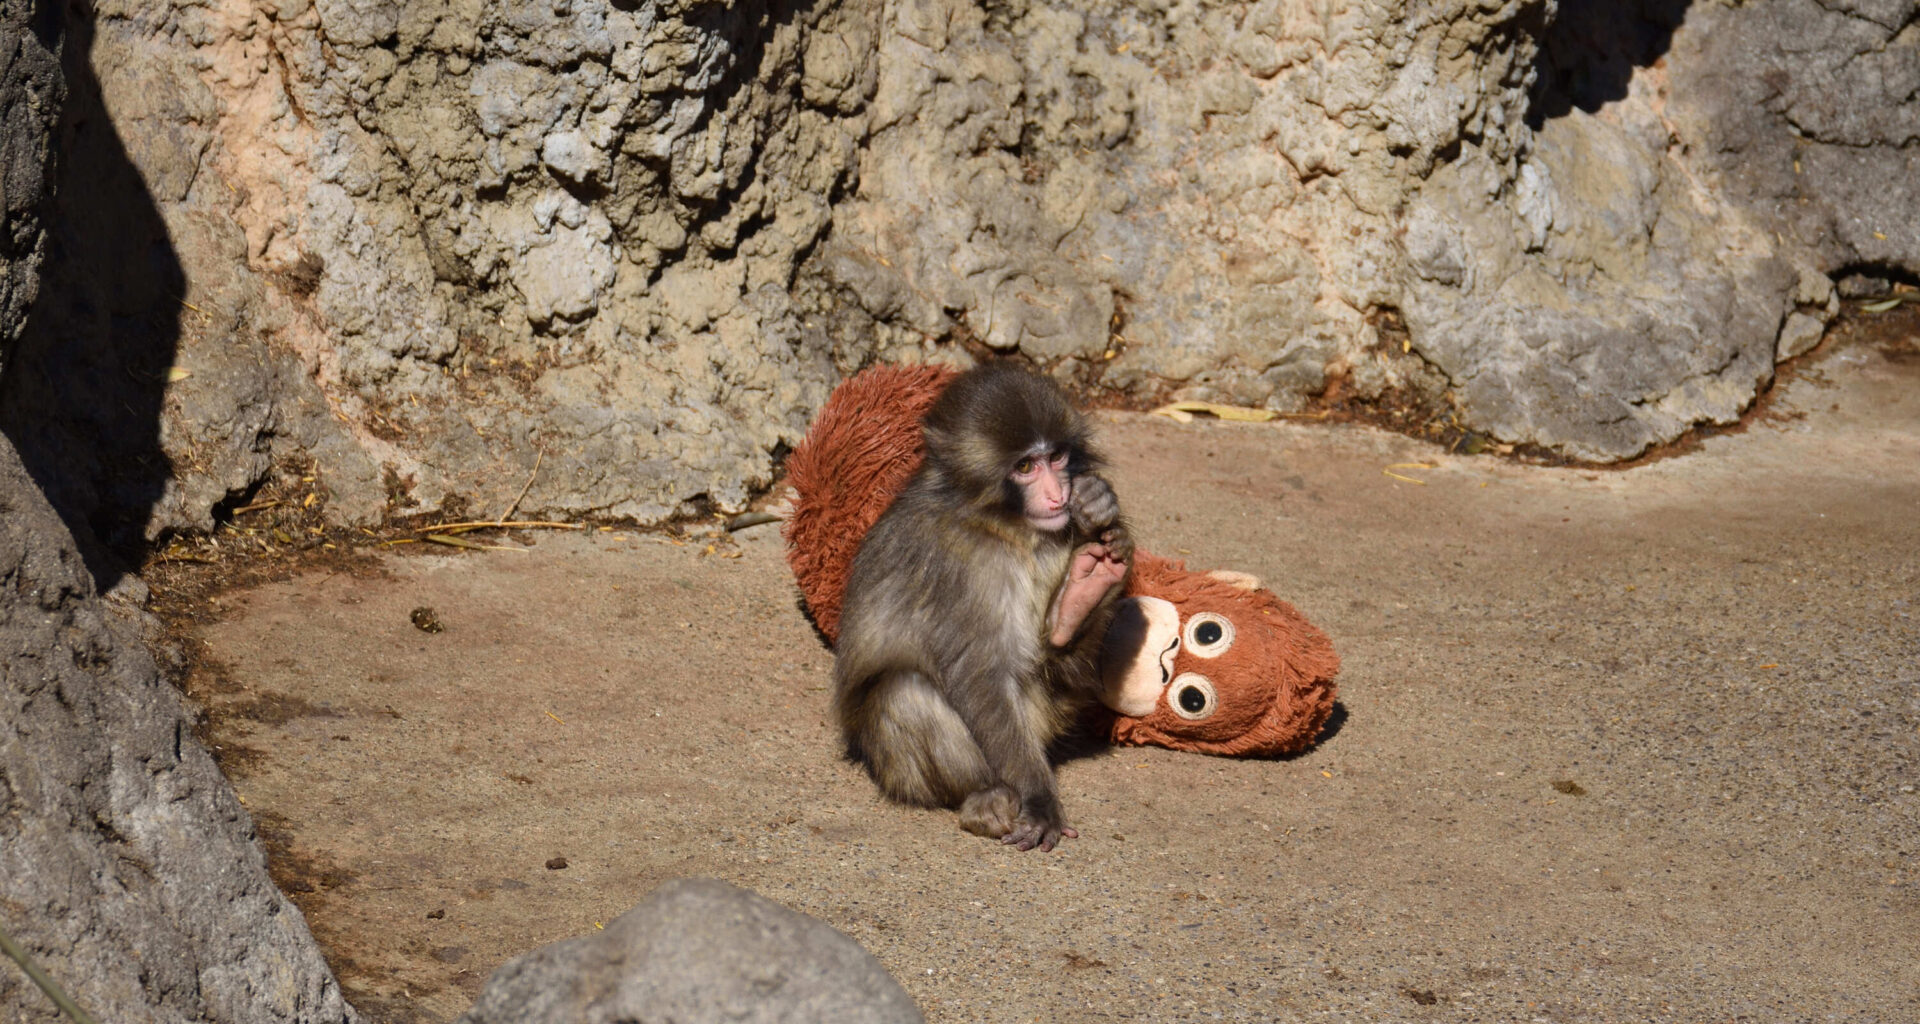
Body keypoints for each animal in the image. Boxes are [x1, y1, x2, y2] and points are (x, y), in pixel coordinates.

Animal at [831, 363, 1133, 852]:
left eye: (1056, 457)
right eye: (1025, 466)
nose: (1056, 495)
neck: (1003, 525)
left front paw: (1098, 505)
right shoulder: (957, 568)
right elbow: (980, 674)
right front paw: (1040, 800)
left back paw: (1082, 593)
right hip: (899, 770)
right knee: (904, 690)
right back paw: (987, 797)